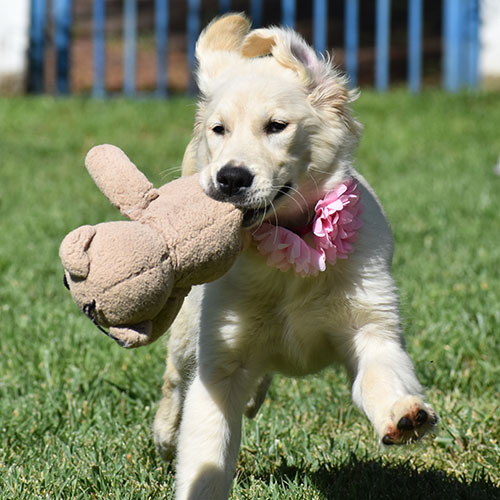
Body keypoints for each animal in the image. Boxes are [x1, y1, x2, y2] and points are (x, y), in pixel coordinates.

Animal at [153, 14, 438, 499]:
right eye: (219, 130)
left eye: (276, 126)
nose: (230, 178)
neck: (291, 243)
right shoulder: (220, 362)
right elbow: (206, 448)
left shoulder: (371, 325)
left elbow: (381, 373)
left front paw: (404, 413)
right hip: (189, 328)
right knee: (175, 378)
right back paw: (164, 433)